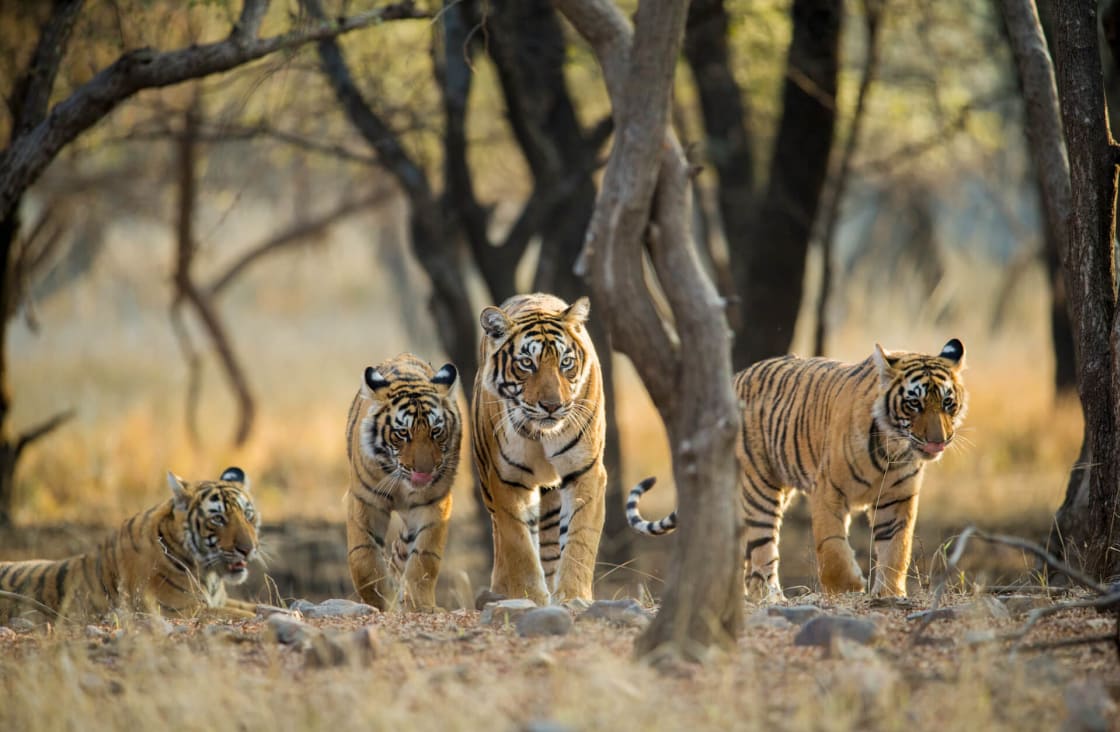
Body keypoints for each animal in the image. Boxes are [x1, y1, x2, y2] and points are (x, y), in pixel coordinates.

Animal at [0, 470, 259, 626]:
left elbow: (257, 607)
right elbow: (247, 614)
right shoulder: (180, 610)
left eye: (248, 515)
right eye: (218, 519)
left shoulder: (220, 601)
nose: (248, 549)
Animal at [342, 355, 461, 613]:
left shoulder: (434, 503)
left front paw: (420, 605)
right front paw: (381, 602)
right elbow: (363, 559)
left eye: (436, 431)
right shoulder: (365, 500)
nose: (424, 472)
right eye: (402, 433)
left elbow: (424, 557)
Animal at [474, 293, 613, 608]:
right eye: (527, 363)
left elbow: (579, 538)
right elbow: (519, 544)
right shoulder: (506, 479)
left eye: (566, 363)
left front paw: (573, 596)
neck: (541, 434)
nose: (552, 406)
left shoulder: (585, 471)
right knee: (501, 537)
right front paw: (531, 597)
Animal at [627, 340, 967, 599]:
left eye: (948, 403)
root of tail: (735, 377)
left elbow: (897, 548)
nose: (938, 440)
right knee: (762, 550)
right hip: (759, 488)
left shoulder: (897, 499)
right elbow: (831, 546)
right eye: (914, 404)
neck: (892, 449)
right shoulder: (828, 491)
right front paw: (848, 587)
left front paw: (890, 594)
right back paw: (771, 598)